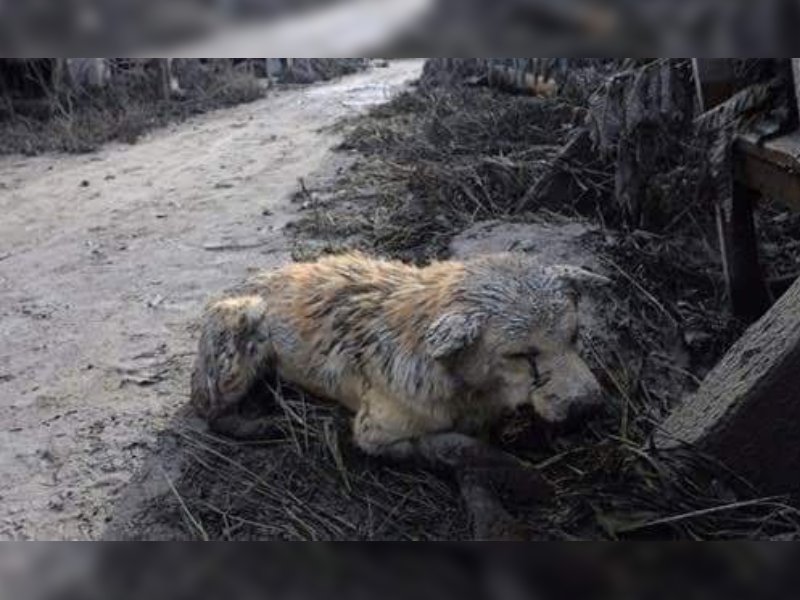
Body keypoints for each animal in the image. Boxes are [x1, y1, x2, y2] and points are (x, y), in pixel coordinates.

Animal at [191, 252, 608, 540]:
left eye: (574, 336)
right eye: (522, 355)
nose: (589, 407)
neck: (464, 385)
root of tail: (251, 278)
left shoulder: (479, 421)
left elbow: (471, 462)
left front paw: (496, 519)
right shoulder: (374, 434)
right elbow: (456, 448)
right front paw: (523, 479)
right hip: (243, 323)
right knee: (209, 410)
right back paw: (263, 424)